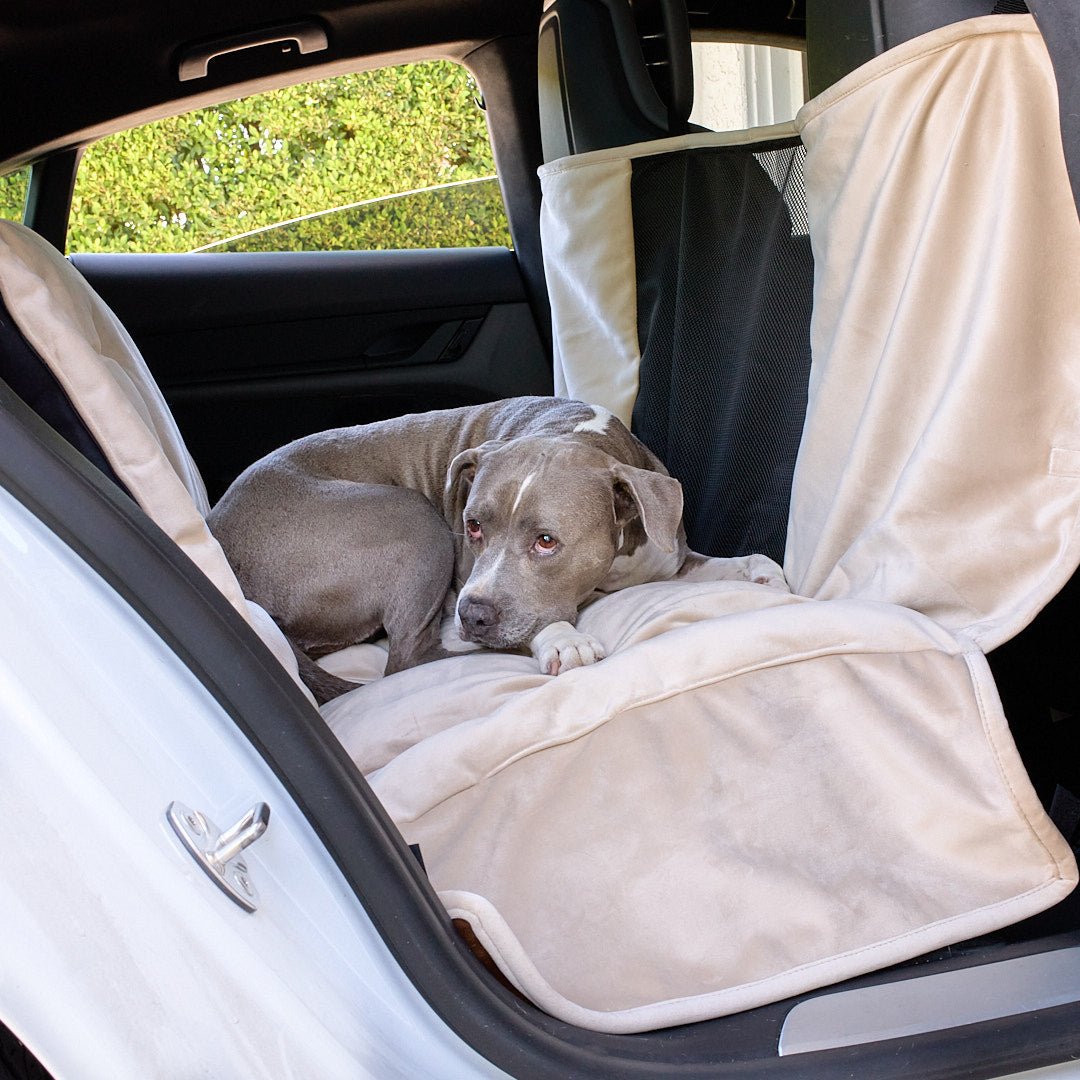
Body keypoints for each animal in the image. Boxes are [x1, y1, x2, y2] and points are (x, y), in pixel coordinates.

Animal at [208, 397, 786, 699]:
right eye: (474, 526)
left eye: (546, 540)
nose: (473, 614)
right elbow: (537, 623)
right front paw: (562, 640)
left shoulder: (666, 556)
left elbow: (724, 565)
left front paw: (763, 573)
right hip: (413, 521)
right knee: (406, 658)